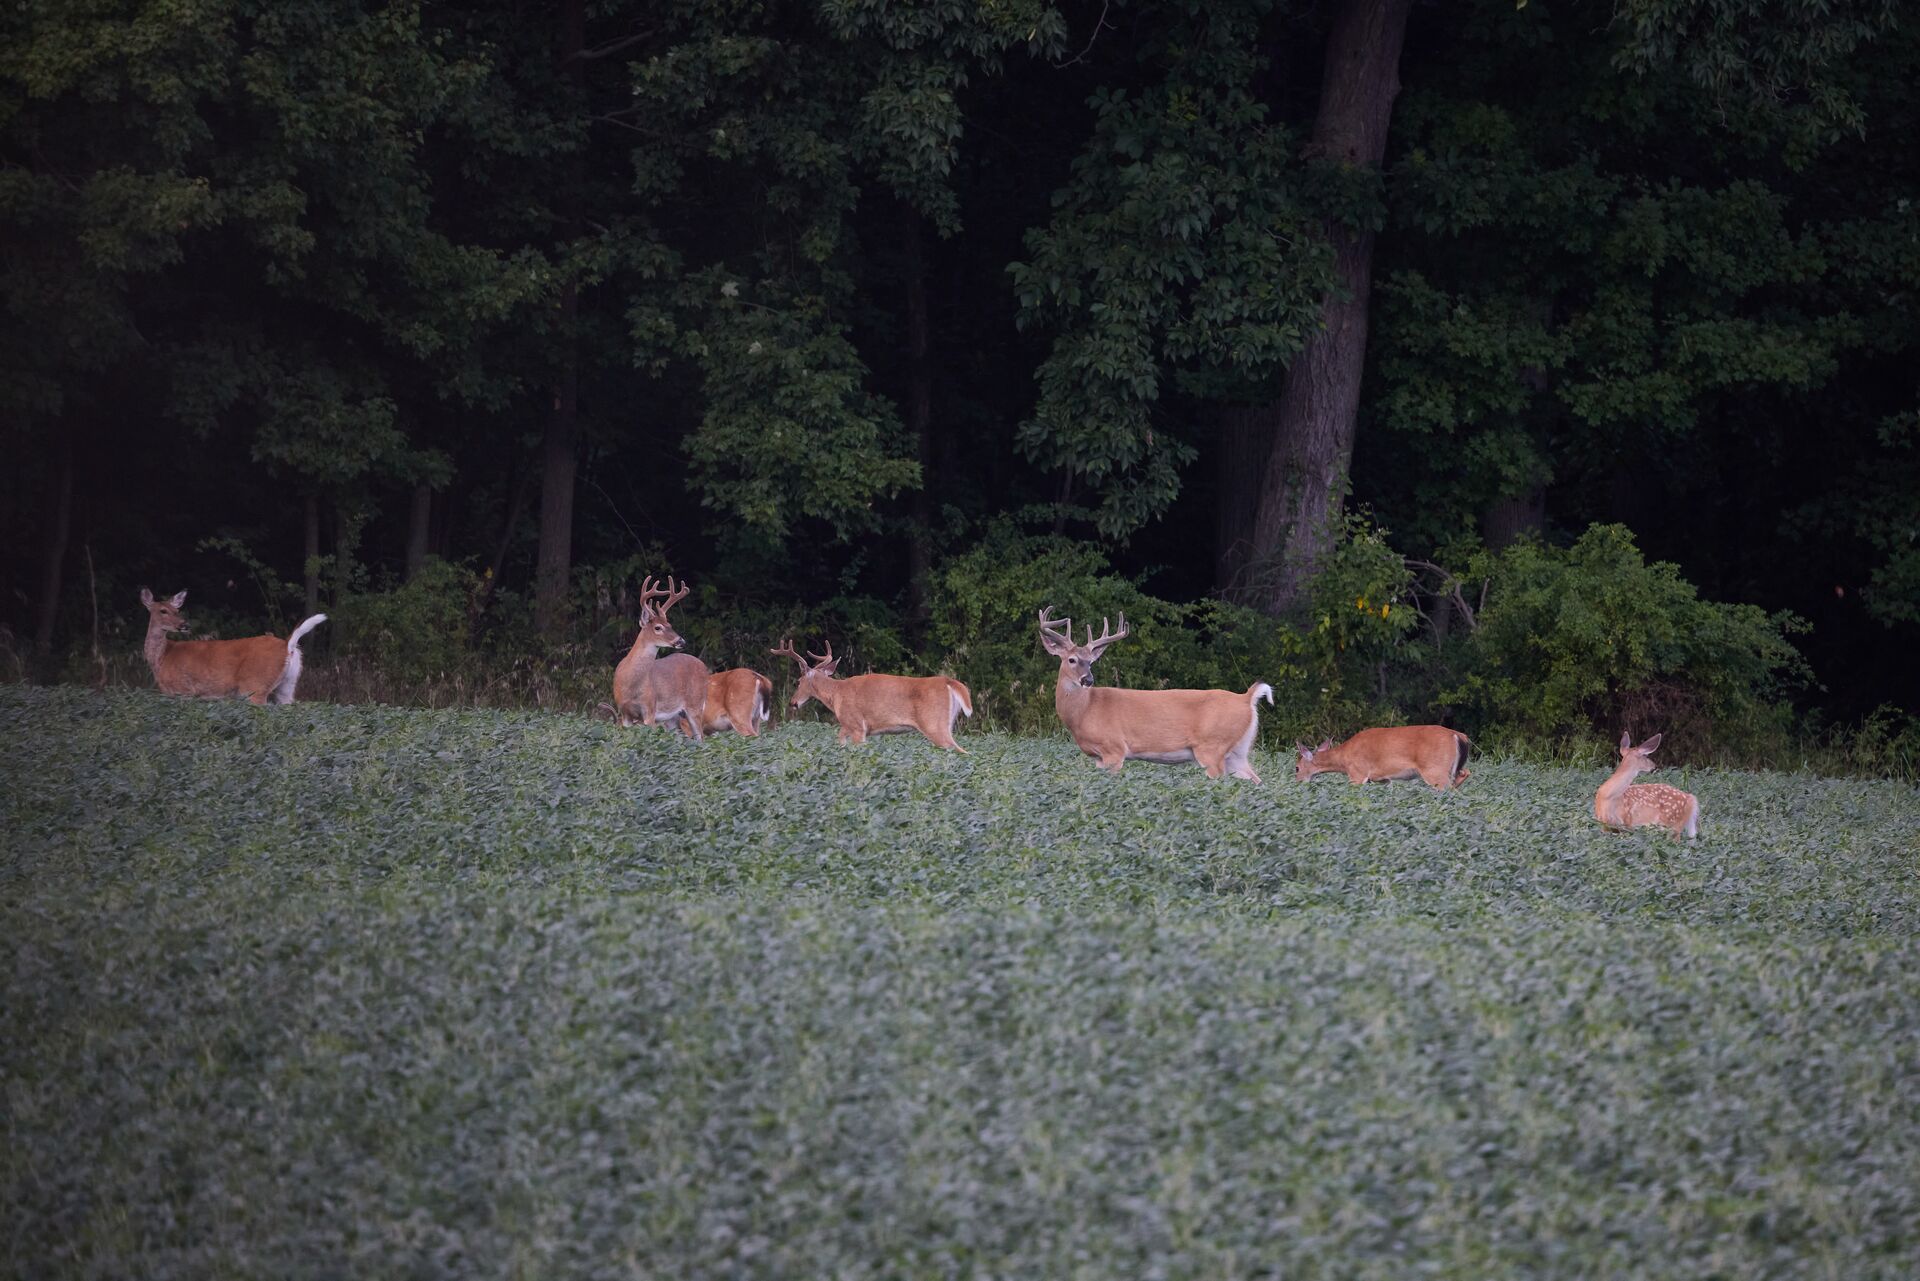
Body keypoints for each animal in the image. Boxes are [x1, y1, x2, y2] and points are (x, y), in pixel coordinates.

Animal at [139, 588, 327, 704]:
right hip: (288, 685)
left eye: (177, 610)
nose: (184, 625)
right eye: (163, 610)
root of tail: (288, 645)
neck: (162, 657)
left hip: (255, 686)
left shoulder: (182, 690)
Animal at [611, 575, 712, 740]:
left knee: (700, 737)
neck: (630, 683)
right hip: (673, 718)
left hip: (695, 704)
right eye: (658, 627)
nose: (681, 641)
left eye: (670, 625)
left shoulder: (650, 709)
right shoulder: (624, 712)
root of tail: (703, 665)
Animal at [771, 638, 972, 752]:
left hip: (934, 724)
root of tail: (949, 682)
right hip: (947, 724)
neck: (837, 694)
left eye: (798, 681)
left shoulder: (857, 725)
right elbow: (840, 741)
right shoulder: (848, 726)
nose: (793, 703)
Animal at [1036, 607, 1272, 781]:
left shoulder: (1114, 749)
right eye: (1072, 659)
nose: (1088, 680)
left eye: (1092, 661)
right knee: (1257, 781)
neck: (1084, 711)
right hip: (1238, 752)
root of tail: (1246, 698)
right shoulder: (1097, 757)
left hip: (1212, 747)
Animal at [1294, 726, 1472, 790]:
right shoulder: (1382, 779)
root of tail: (1458, 735)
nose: (1297, 781)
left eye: (1296, 768)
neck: (1344, 758)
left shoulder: (1357, 774)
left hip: (1434, 769)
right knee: (1465, 773)